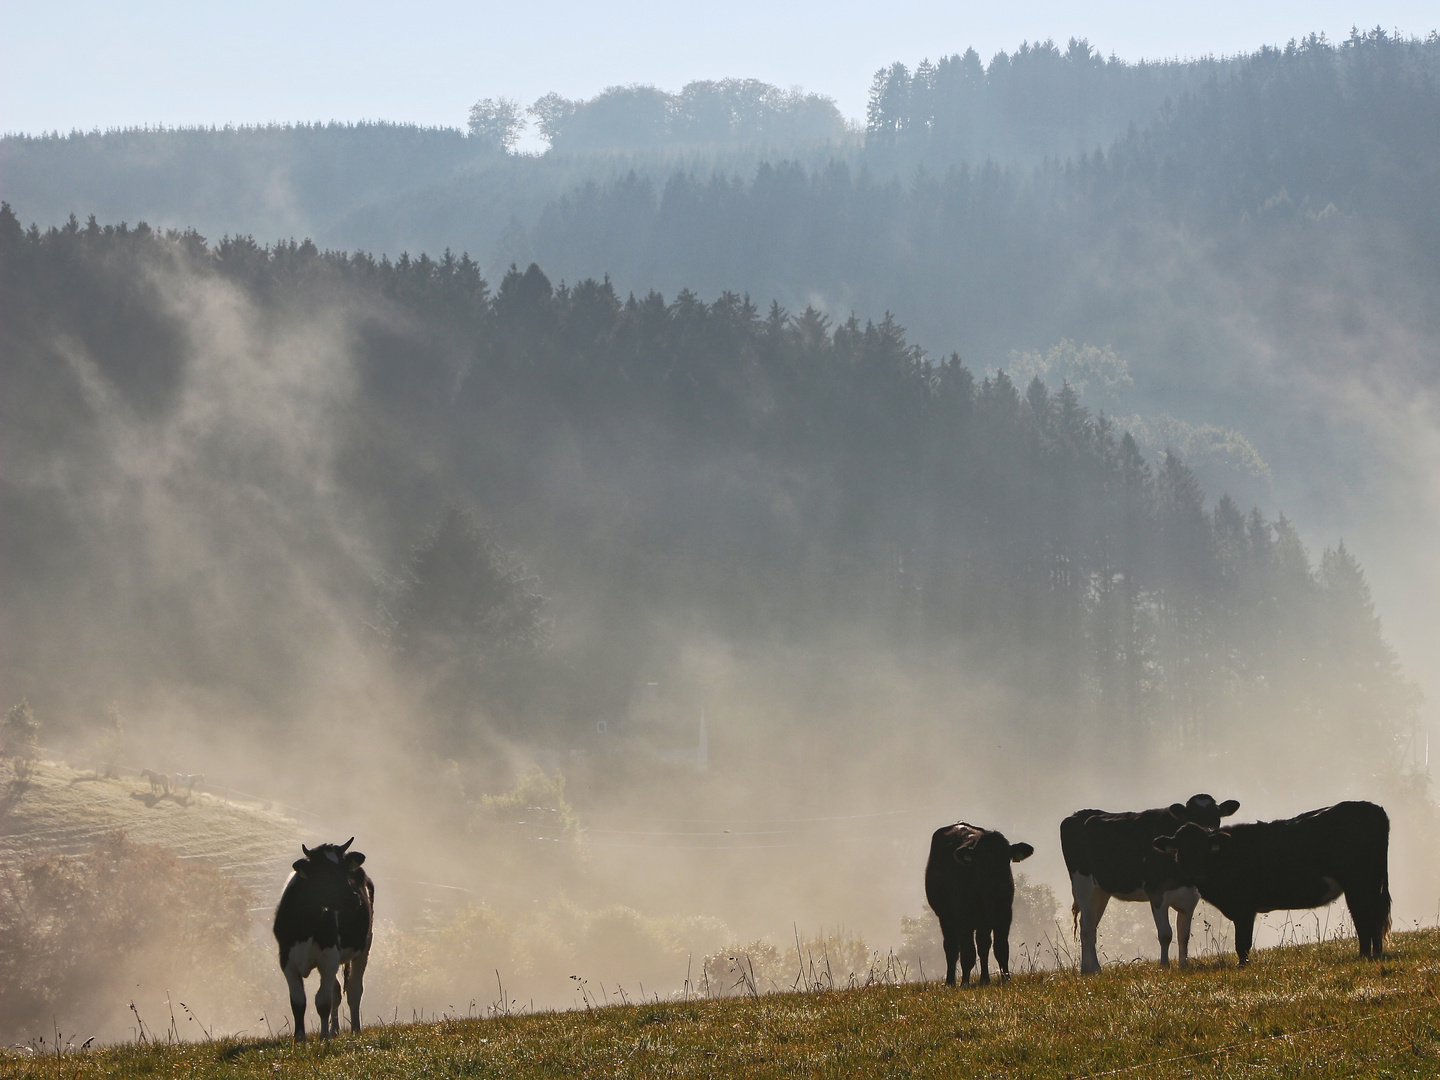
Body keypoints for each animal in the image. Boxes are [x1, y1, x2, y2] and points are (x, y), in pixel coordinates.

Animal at [270, 840, 371, 1042]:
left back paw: (354, 1029)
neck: (305, 926)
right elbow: (298, 1002)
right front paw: (300, 1038)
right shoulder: (286, 960)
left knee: (354, 990)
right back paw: (335, 1030)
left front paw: (323, 1037)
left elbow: (323, 1002)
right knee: (337, 991)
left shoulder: (329, 957)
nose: (354, 898)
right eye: (323, 874)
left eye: (345, 870)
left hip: (364, 947)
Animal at [921, 817, 1036, 990]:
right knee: (952, 949)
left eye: (1006, 859)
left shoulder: (1004, 915)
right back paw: (950, 982)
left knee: (982, 944)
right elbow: (968, 953)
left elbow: (1000, 948)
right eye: (984, 861)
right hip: (945, 918)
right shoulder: (963, 919)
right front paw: (965, 982)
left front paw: (1004, 979)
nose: (1003, 885)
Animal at [1059, 789, 1238, 979]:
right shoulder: (1157, 893)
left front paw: (1183, 965)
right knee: (1087, 928)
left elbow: (1183, 935)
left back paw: (1087, 970)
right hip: (1082, 885)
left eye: (1217, 816)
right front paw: (1164, 966)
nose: (1209, 832)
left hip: (1101, 891)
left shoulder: (1189, 897)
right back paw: (1096, 969)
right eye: (1191, 817)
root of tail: (1078, 814)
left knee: (1089, 925)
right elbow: (1166, 934)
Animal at [1152, 800, 1388, 967]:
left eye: (1202, 848)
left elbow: (1242, 944)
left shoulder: (1244, 908)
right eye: (1180, 850)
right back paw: (1375, 954)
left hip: (1357, 883)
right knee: (1375, 917)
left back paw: (1364, 956)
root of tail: (1371, 807)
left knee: (1364, 918)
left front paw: (1243, 967)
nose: (1194, 873)